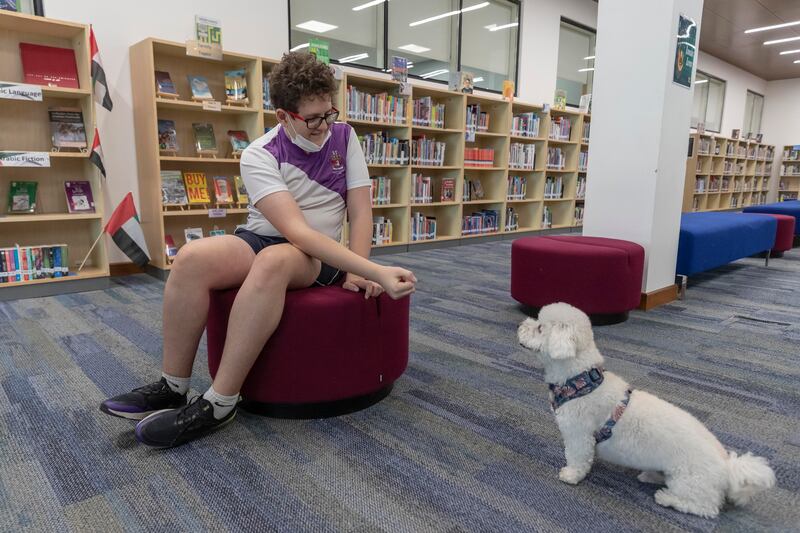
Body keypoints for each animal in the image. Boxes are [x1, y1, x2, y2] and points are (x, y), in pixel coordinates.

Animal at [520, 304, 776, 516]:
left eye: (540, 327)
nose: (521, 325)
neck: (581, 381)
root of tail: (727, 467)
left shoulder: (578, 435)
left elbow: (577, 458)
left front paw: (571, 475)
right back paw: (649, 475)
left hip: (689, 482)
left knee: (704, 508)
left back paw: (667, 498)